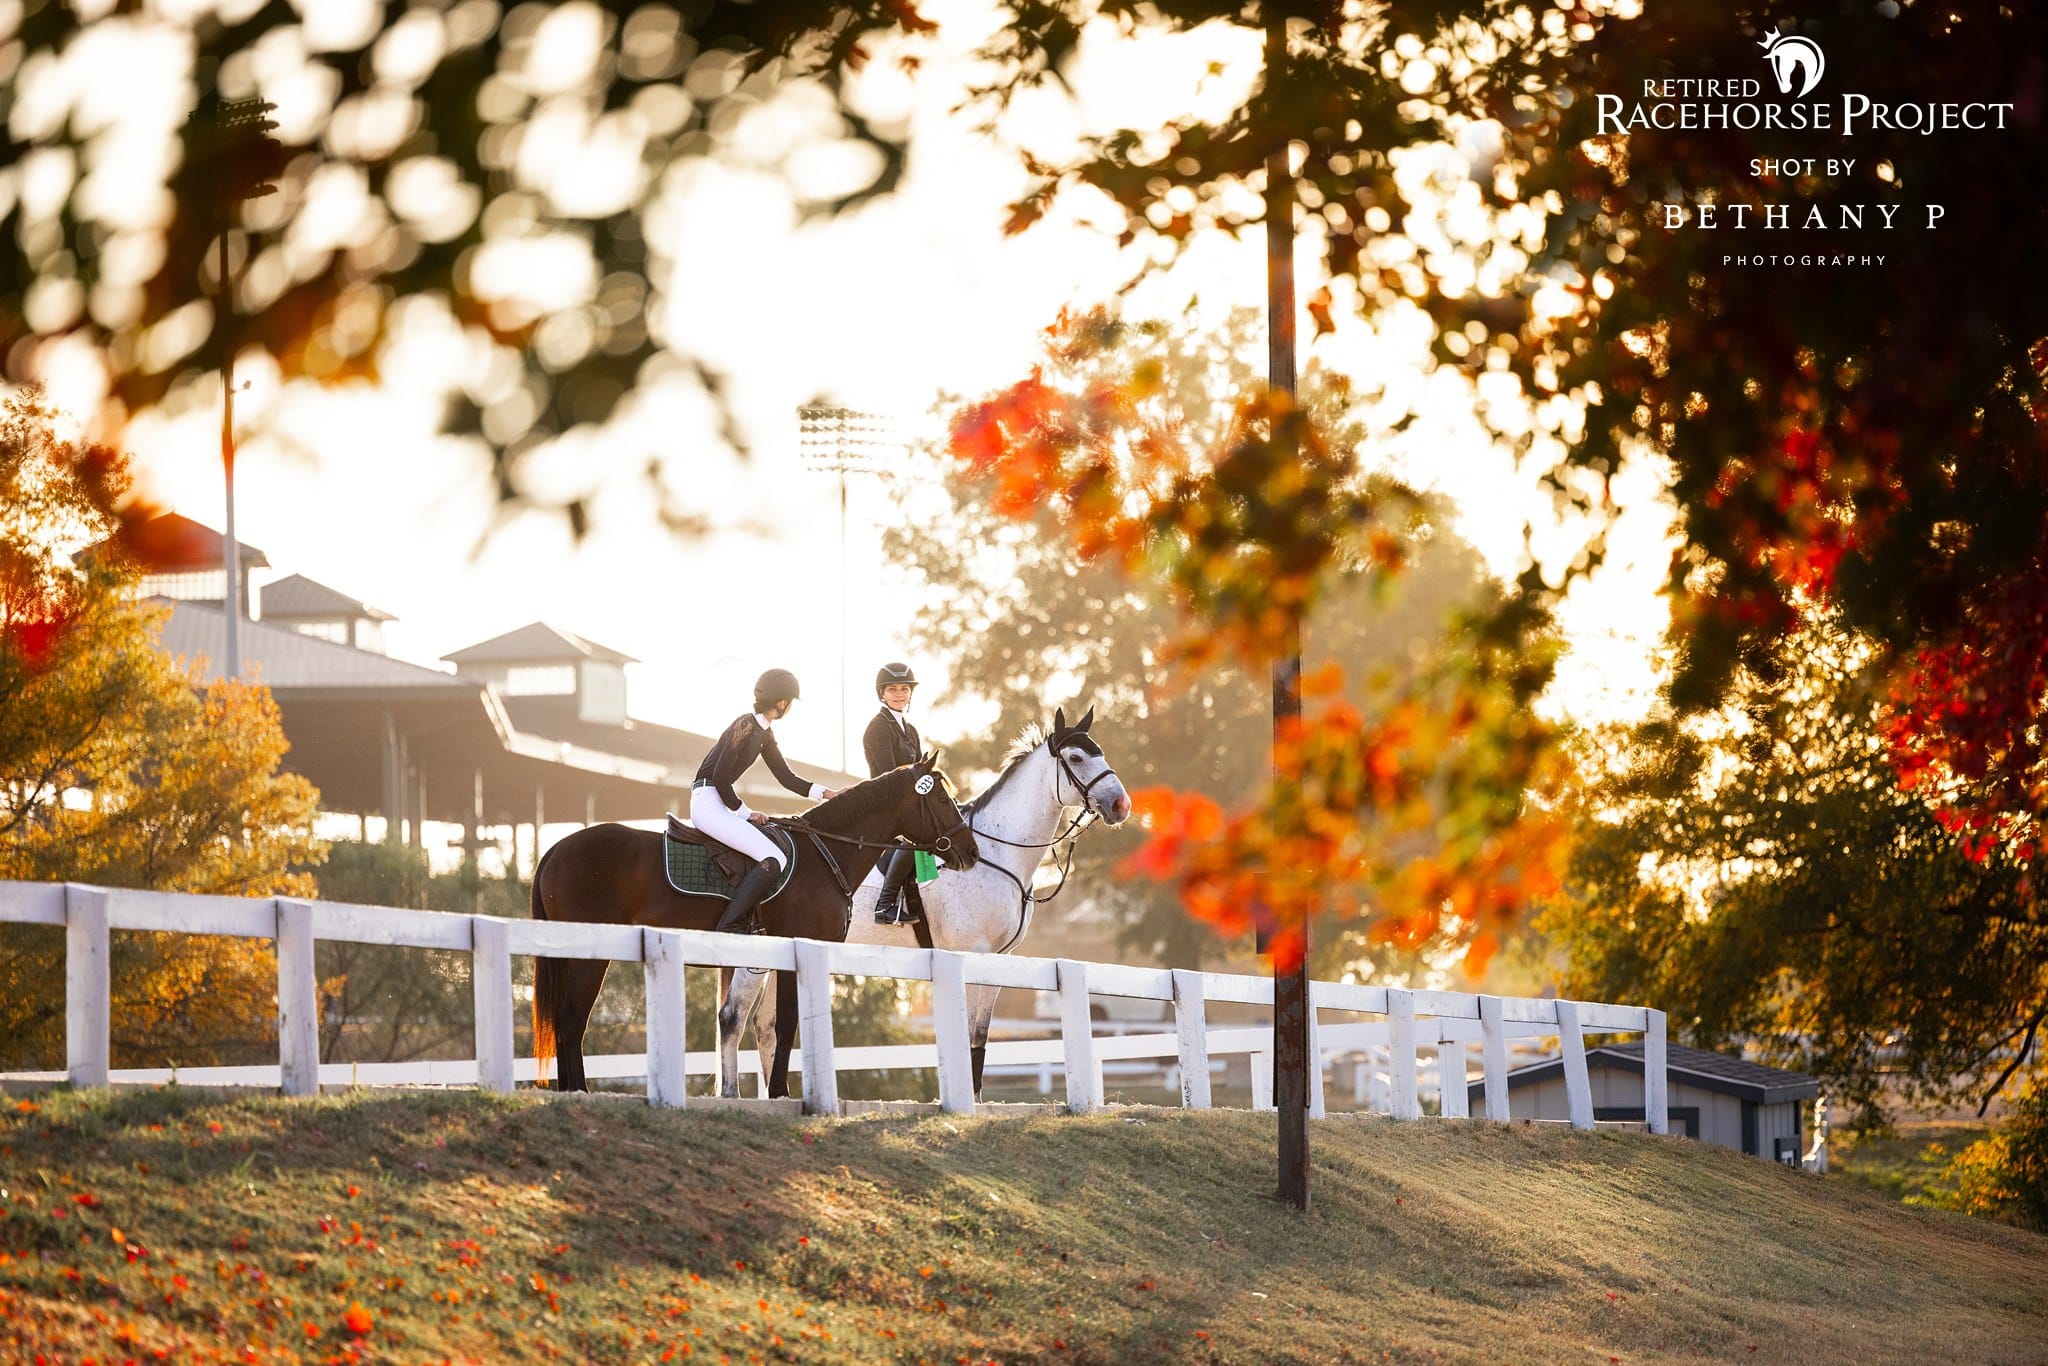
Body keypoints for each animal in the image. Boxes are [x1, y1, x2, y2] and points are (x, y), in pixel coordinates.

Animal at [528, 753, 974, 1097]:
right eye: (940, 798)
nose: (970, 852)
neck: (825, 854)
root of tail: (555, 849)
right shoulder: (798, 948)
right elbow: (787, 1022)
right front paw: (780, 1093)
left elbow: (769, 1024)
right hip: (589, 955)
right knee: (571, 1018)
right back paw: (578, 1091)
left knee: (566, 1018)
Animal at [716, 704, 1138, 1097]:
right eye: (1077, 758)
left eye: (1100, 752)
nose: (1121, 805)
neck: (994, 854)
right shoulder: (970, 952)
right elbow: (964, 1030)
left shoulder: (999, 959)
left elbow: (980, 1034)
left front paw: (977, 1097)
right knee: (736, 1015)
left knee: (765, 1024)